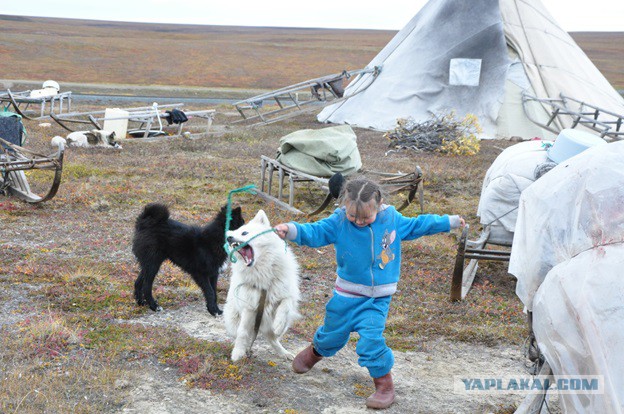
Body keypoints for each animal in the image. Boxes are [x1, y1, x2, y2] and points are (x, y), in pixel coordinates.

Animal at [224, 209, 302, 360]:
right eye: (233, 234)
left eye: (244, 233)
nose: (229, 238)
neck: (263, 271)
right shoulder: (249, 308)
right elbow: (242, 332)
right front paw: (237, 353)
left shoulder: (286, 293)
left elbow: (285, 305)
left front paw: (279, 324)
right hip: (233, 318)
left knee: (273, 337)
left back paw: (284, 352)